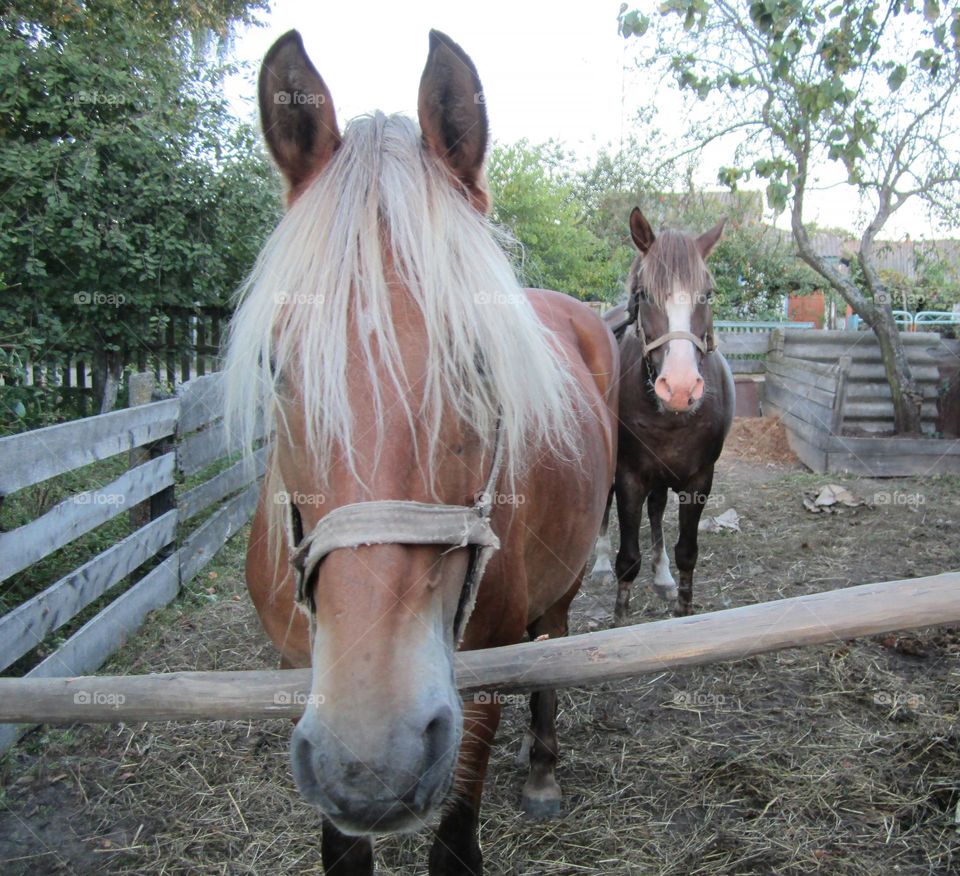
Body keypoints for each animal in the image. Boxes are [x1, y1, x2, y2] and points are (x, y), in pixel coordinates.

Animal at [224, 30, 619, 876]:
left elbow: (455, 841)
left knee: (554, 646)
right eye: (276, 367)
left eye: (482, 362)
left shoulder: (480, 679)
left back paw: (541, 769)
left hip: (565, 581)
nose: (374, 755)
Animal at [590, 208, 735, 621]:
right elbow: (628, 560)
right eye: (644, 294)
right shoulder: (629, 477)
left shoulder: (699, 480)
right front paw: (620, 615)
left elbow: (688, 553)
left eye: (707, 294)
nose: (681, 388)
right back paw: (600, 566)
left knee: (656, 511)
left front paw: (680, 600)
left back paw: (663, 577)